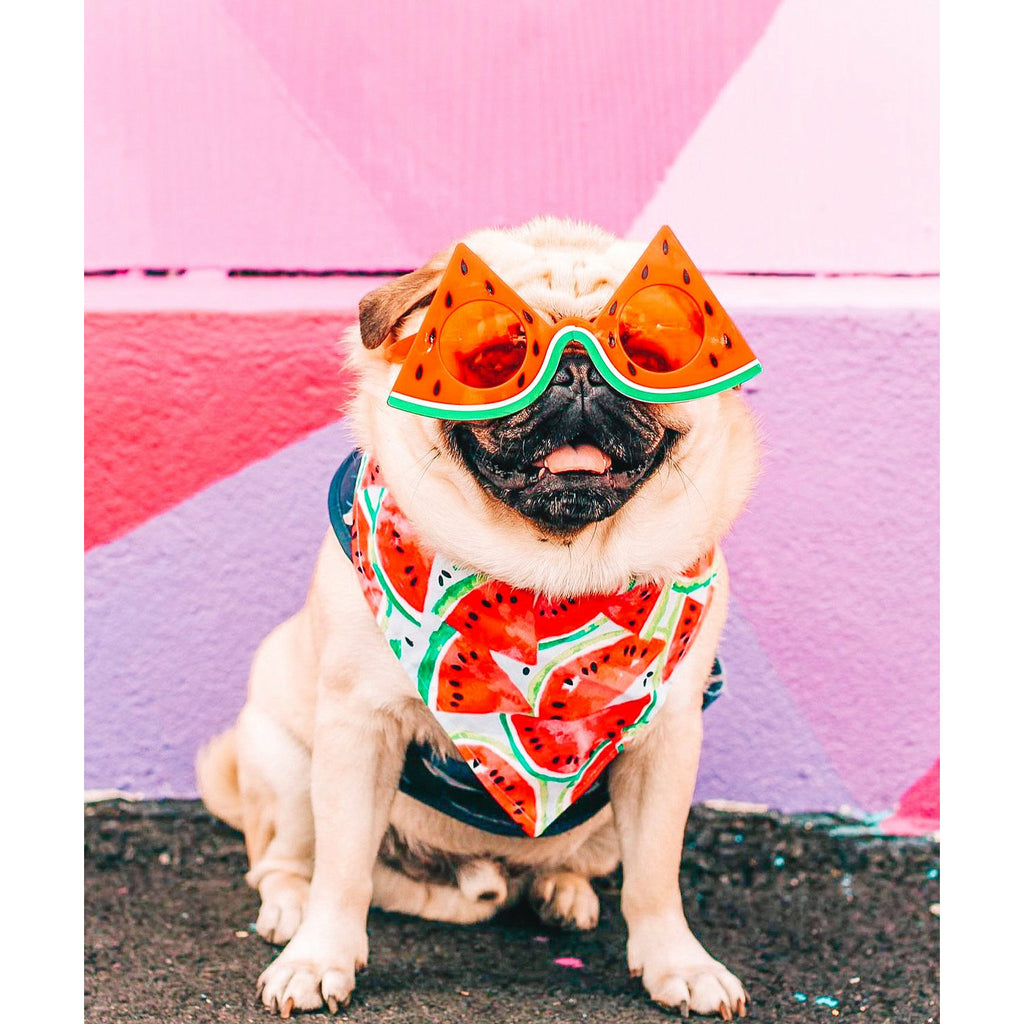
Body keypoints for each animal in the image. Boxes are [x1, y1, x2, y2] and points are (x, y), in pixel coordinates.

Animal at [197, 216, 761, 1015]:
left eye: (649, 354)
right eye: (494, 357)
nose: (579, 370)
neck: (552, 579)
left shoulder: (665, 745)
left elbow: (656, 879)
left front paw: (677, 963)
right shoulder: (357, 730)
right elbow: (343, 869)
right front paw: (318, 957)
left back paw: (561, 891)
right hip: (286, 762)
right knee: (287, 860)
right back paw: (288, 909)